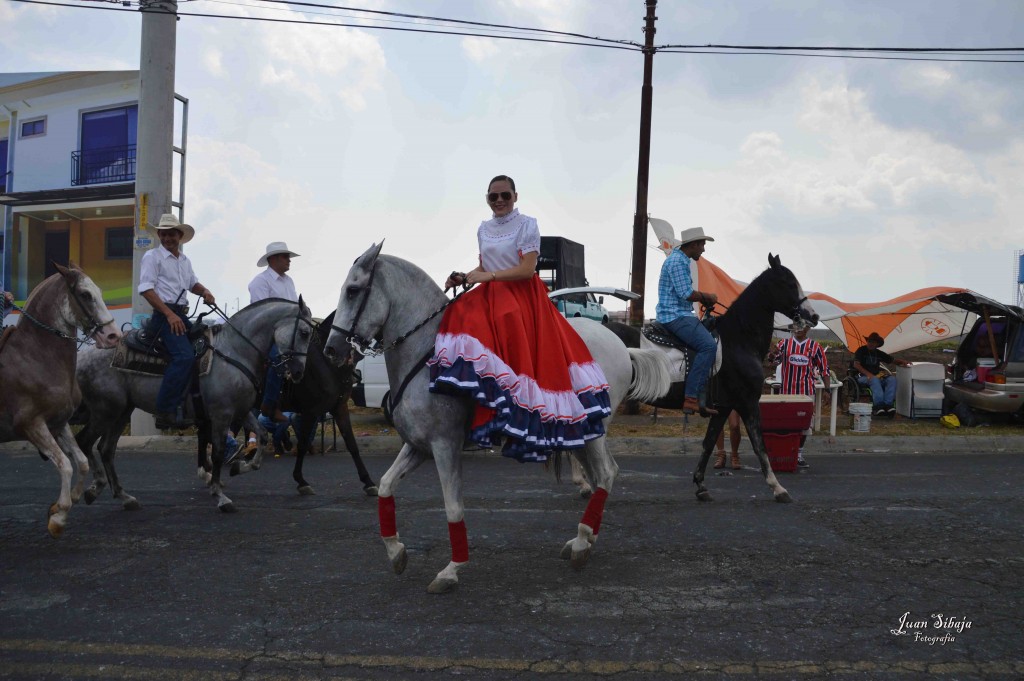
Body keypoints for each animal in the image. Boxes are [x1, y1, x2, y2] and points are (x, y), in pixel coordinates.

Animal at [0, 266, 121, 536]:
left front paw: (65, 504)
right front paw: (58, 516)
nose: (113, 336)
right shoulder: (32, 425)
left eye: (99, 291)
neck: (35, 358)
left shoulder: (58, 423)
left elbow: (82, 462)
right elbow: (65, 464)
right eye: (85, 294)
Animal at [74, 296, 311, 509]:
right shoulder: (221, 414)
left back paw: (124, 496)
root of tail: (81, 356)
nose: (299, 372)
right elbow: (217, 451)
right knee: (85, 441)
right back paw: (95, 487)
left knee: (106, 449)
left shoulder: (242, 411)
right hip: (106, 411)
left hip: (122, 411)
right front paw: (219, 495)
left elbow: (261, 436)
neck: (234, 352)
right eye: (304, 333)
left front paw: (239, 468)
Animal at [325, 242, 671, 589]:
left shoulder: (444, 445)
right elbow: (385, 486)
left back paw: (582, 542)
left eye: (353, 290)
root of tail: (622, 346)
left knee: (608, 473)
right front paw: (396, 552)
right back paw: (583, 541)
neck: (426, 357)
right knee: (600, 476)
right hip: (581, 436)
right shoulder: (418, 446)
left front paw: (451, 569)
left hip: (594, 431)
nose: (331, 350)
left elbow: (453, 506)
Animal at [606, 251, 815, 501]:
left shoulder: (723, 407)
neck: (739, 339)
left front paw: (700, 484)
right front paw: (778, 487)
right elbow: (759, 444)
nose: (813, 316)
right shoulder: (747, 403)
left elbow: (708, 442)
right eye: (789, 283)